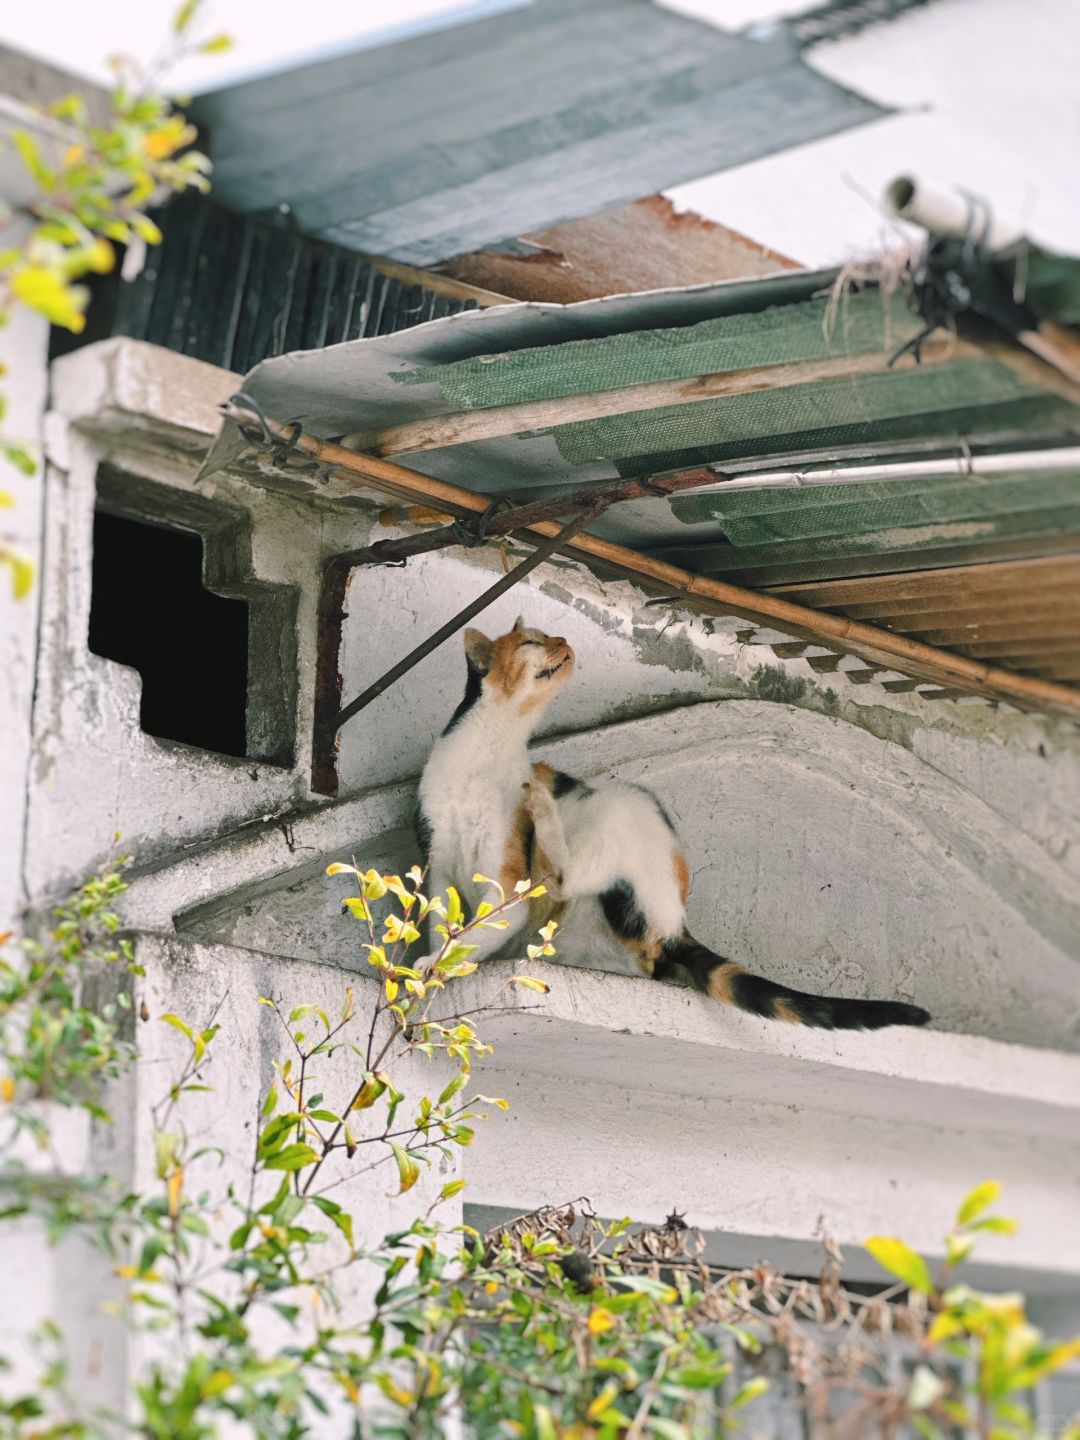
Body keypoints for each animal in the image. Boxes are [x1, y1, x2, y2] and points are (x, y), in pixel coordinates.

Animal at [414, 619, 933, 1036]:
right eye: (530, 642)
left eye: (549, 637)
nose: (562, 640)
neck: (488, 749)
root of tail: (677, 927)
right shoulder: (438, 864)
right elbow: (441, 922)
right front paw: (425, 964)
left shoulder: (505, 878)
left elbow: (484, 925)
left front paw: (437, 967)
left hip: (626, 805)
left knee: (568, 881)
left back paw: (543, 808)